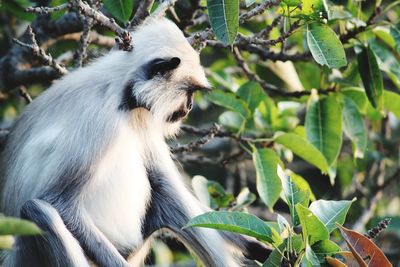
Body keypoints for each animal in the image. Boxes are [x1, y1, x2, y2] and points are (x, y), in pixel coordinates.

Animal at [1, 17, 270, 266]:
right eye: (189, 92)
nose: (191, 107)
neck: (121, 92)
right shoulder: (100, 120)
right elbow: (58, 201)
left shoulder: (142, 118)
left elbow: (165, 182)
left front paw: (258, 246)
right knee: (38, 210)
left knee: (164, 188)